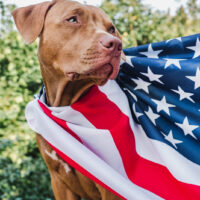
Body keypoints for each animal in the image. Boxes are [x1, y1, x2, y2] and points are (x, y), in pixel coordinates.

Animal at [12, 0, 123, 199]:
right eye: (72, 19)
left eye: (111, 29)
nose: (116, 44)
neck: (65, 104)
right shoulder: (59, 181)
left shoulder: (111, 187)